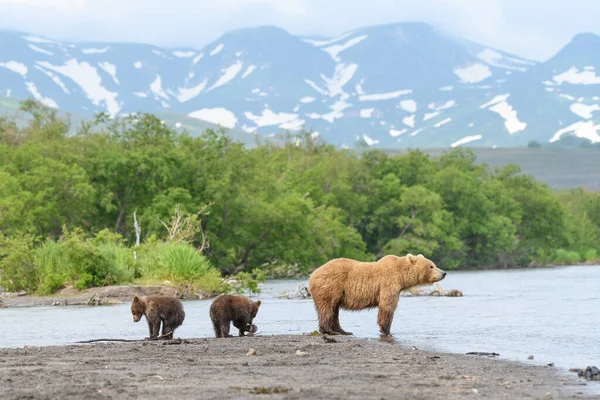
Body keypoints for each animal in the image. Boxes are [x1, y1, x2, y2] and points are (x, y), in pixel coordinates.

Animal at [310, 255, 446, 336]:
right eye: (431, 266)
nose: (444, 273)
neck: (402, 277)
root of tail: (312, 274)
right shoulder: (389, 282)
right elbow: (387, 306)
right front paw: (386, 330)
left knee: (334, 309)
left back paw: (343, 331)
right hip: (331, 285)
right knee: (327, 307)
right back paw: (330, 330)